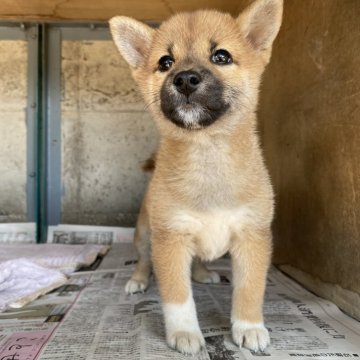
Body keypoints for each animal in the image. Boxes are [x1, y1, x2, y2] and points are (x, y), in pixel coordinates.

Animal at [108, 0, 282, 354]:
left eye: (221, 56)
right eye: (165, 62)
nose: (185, 79)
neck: (207, 153)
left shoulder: (252, 236)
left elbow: (249, 289)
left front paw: (249, 327)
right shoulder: (171, 239)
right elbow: (178, 297)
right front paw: (185, 333)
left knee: (200, 259)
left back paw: (203, 273)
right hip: (145, 234)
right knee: (144, 260)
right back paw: (137, 280)